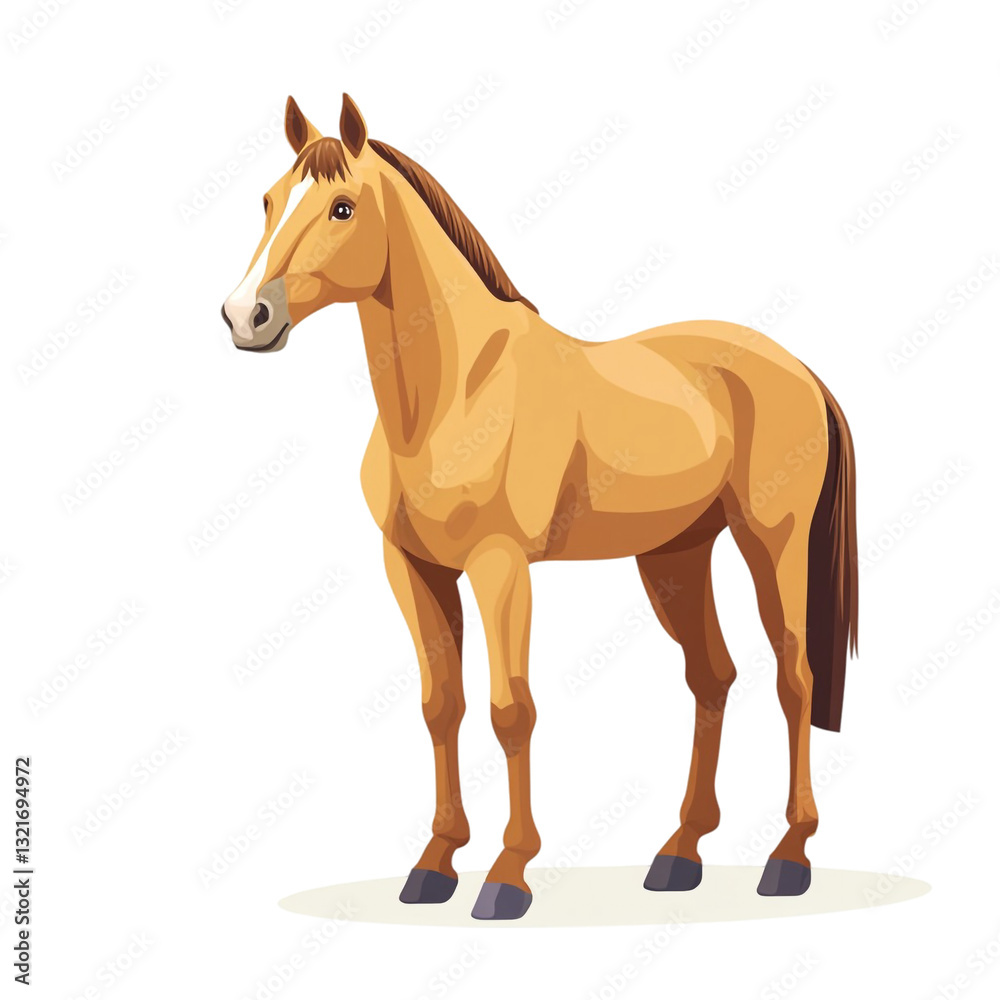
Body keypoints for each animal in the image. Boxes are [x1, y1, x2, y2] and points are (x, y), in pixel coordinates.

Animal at [222, 94, 858, 920]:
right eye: (268, 200)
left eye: (341, 206)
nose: (246, 316)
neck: (456, 393)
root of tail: (800, 370)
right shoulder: (413, 569)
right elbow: (441, 705)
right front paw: (434, 864)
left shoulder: (500, 566)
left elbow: (509, 709)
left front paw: (507, 874)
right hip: (676, 556)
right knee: (712, 676)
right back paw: (679, 853)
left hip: (771, 545)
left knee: (795, 678)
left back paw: (789, 856)